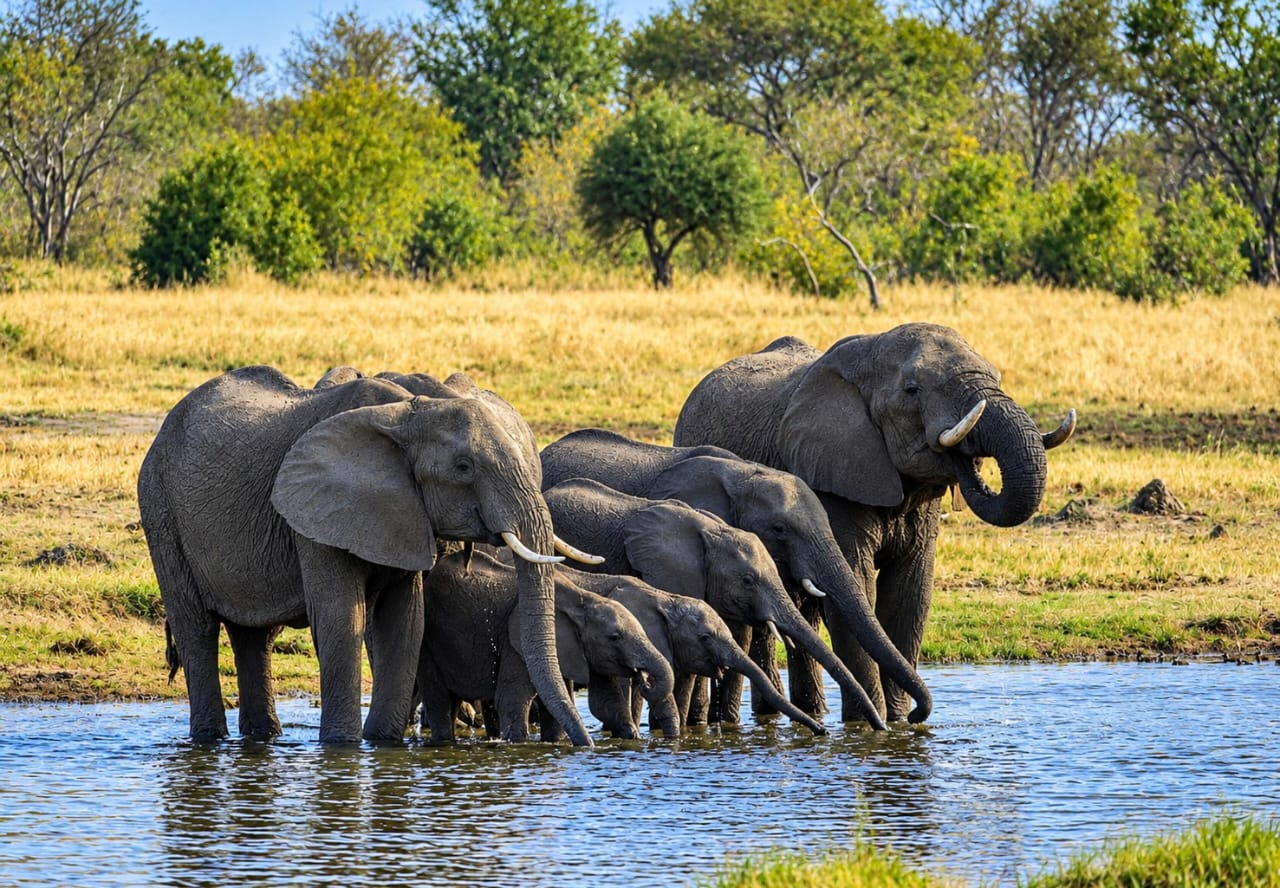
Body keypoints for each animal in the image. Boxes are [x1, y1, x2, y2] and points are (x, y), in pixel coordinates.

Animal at [137, 364, 595, 746]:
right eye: (463, 468)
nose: (585, 746)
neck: (403, 416)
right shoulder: (316, 511)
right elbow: (343, 618)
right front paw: (342, 745)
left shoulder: (407, 514)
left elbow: (404, 622)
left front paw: (382, 743)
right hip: (160, 511)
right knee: (197, 629)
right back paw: (209, 740)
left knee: (254, 636)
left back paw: (262, 739)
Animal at [418, 548, 681, 741]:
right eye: (614, 637)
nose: (643, 679)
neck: (581, 599)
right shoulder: (516, 643)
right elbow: (513, 700)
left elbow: (595, 702)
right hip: (429, 640)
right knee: (439, 700)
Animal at [674, 322, 1075, 722]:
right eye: (912, 390)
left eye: (996, 376)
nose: (967, 459)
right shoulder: (832, 474)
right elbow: (858, 587)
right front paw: (871, 722)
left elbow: (908, 595)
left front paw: (899, 720)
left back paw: (809, 711)